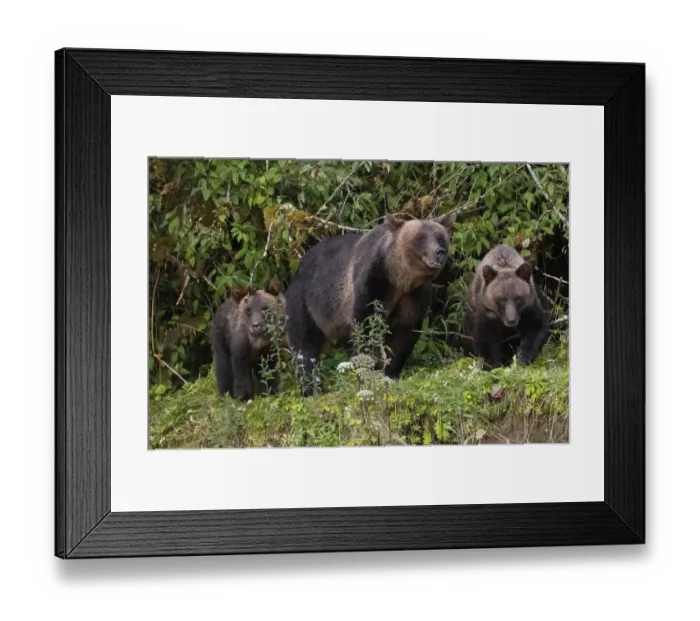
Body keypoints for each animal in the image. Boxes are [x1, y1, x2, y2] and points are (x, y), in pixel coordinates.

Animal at [284, 212, 455, 394]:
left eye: (440, 237)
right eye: (420, 237)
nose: (439, 252)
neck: (399, 279)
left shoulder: (414, 295)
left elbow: (404, 333)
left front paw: (388, 373)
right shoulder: (373, 281)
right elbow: (366, 325)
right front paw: (369, 372)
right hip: (307, 300)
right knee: (304, 342)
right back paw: (311, 387)